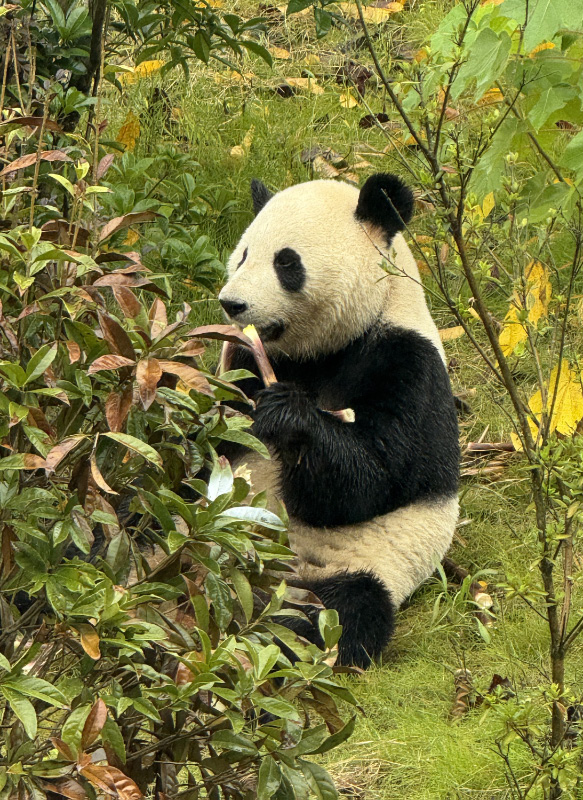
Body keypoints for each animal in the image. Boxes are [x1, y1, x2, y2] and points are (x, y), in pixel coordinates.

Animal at [218, 173, 460, 669]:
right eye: (244, 254)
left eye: (286, 262)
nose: (232, 304)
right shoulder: (246, 360)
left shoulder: (408, 363)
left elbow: (371, 479)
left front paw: (287, 418)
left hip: (354, 567)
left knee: (338, 613)